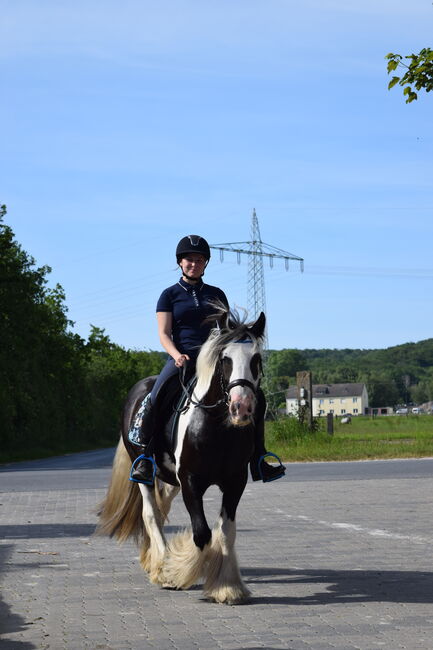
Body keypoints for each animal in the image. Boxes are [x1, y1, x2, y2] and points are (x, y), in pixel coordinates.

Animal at [97, 308, 266, 604]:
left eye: (256, 359)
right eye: (225, 359)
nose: (241, 408)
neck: (216, 427)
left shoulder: (235, 482)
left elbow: (226, 532)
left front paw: (228, 587)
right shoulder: (190, 481)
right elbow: (201, 533)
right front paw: (178, 573)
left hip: (169, 479)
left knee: (161, 507)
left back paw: (152, 559)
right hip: (144, 473)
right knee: (151, 514)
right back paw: (161, 565)